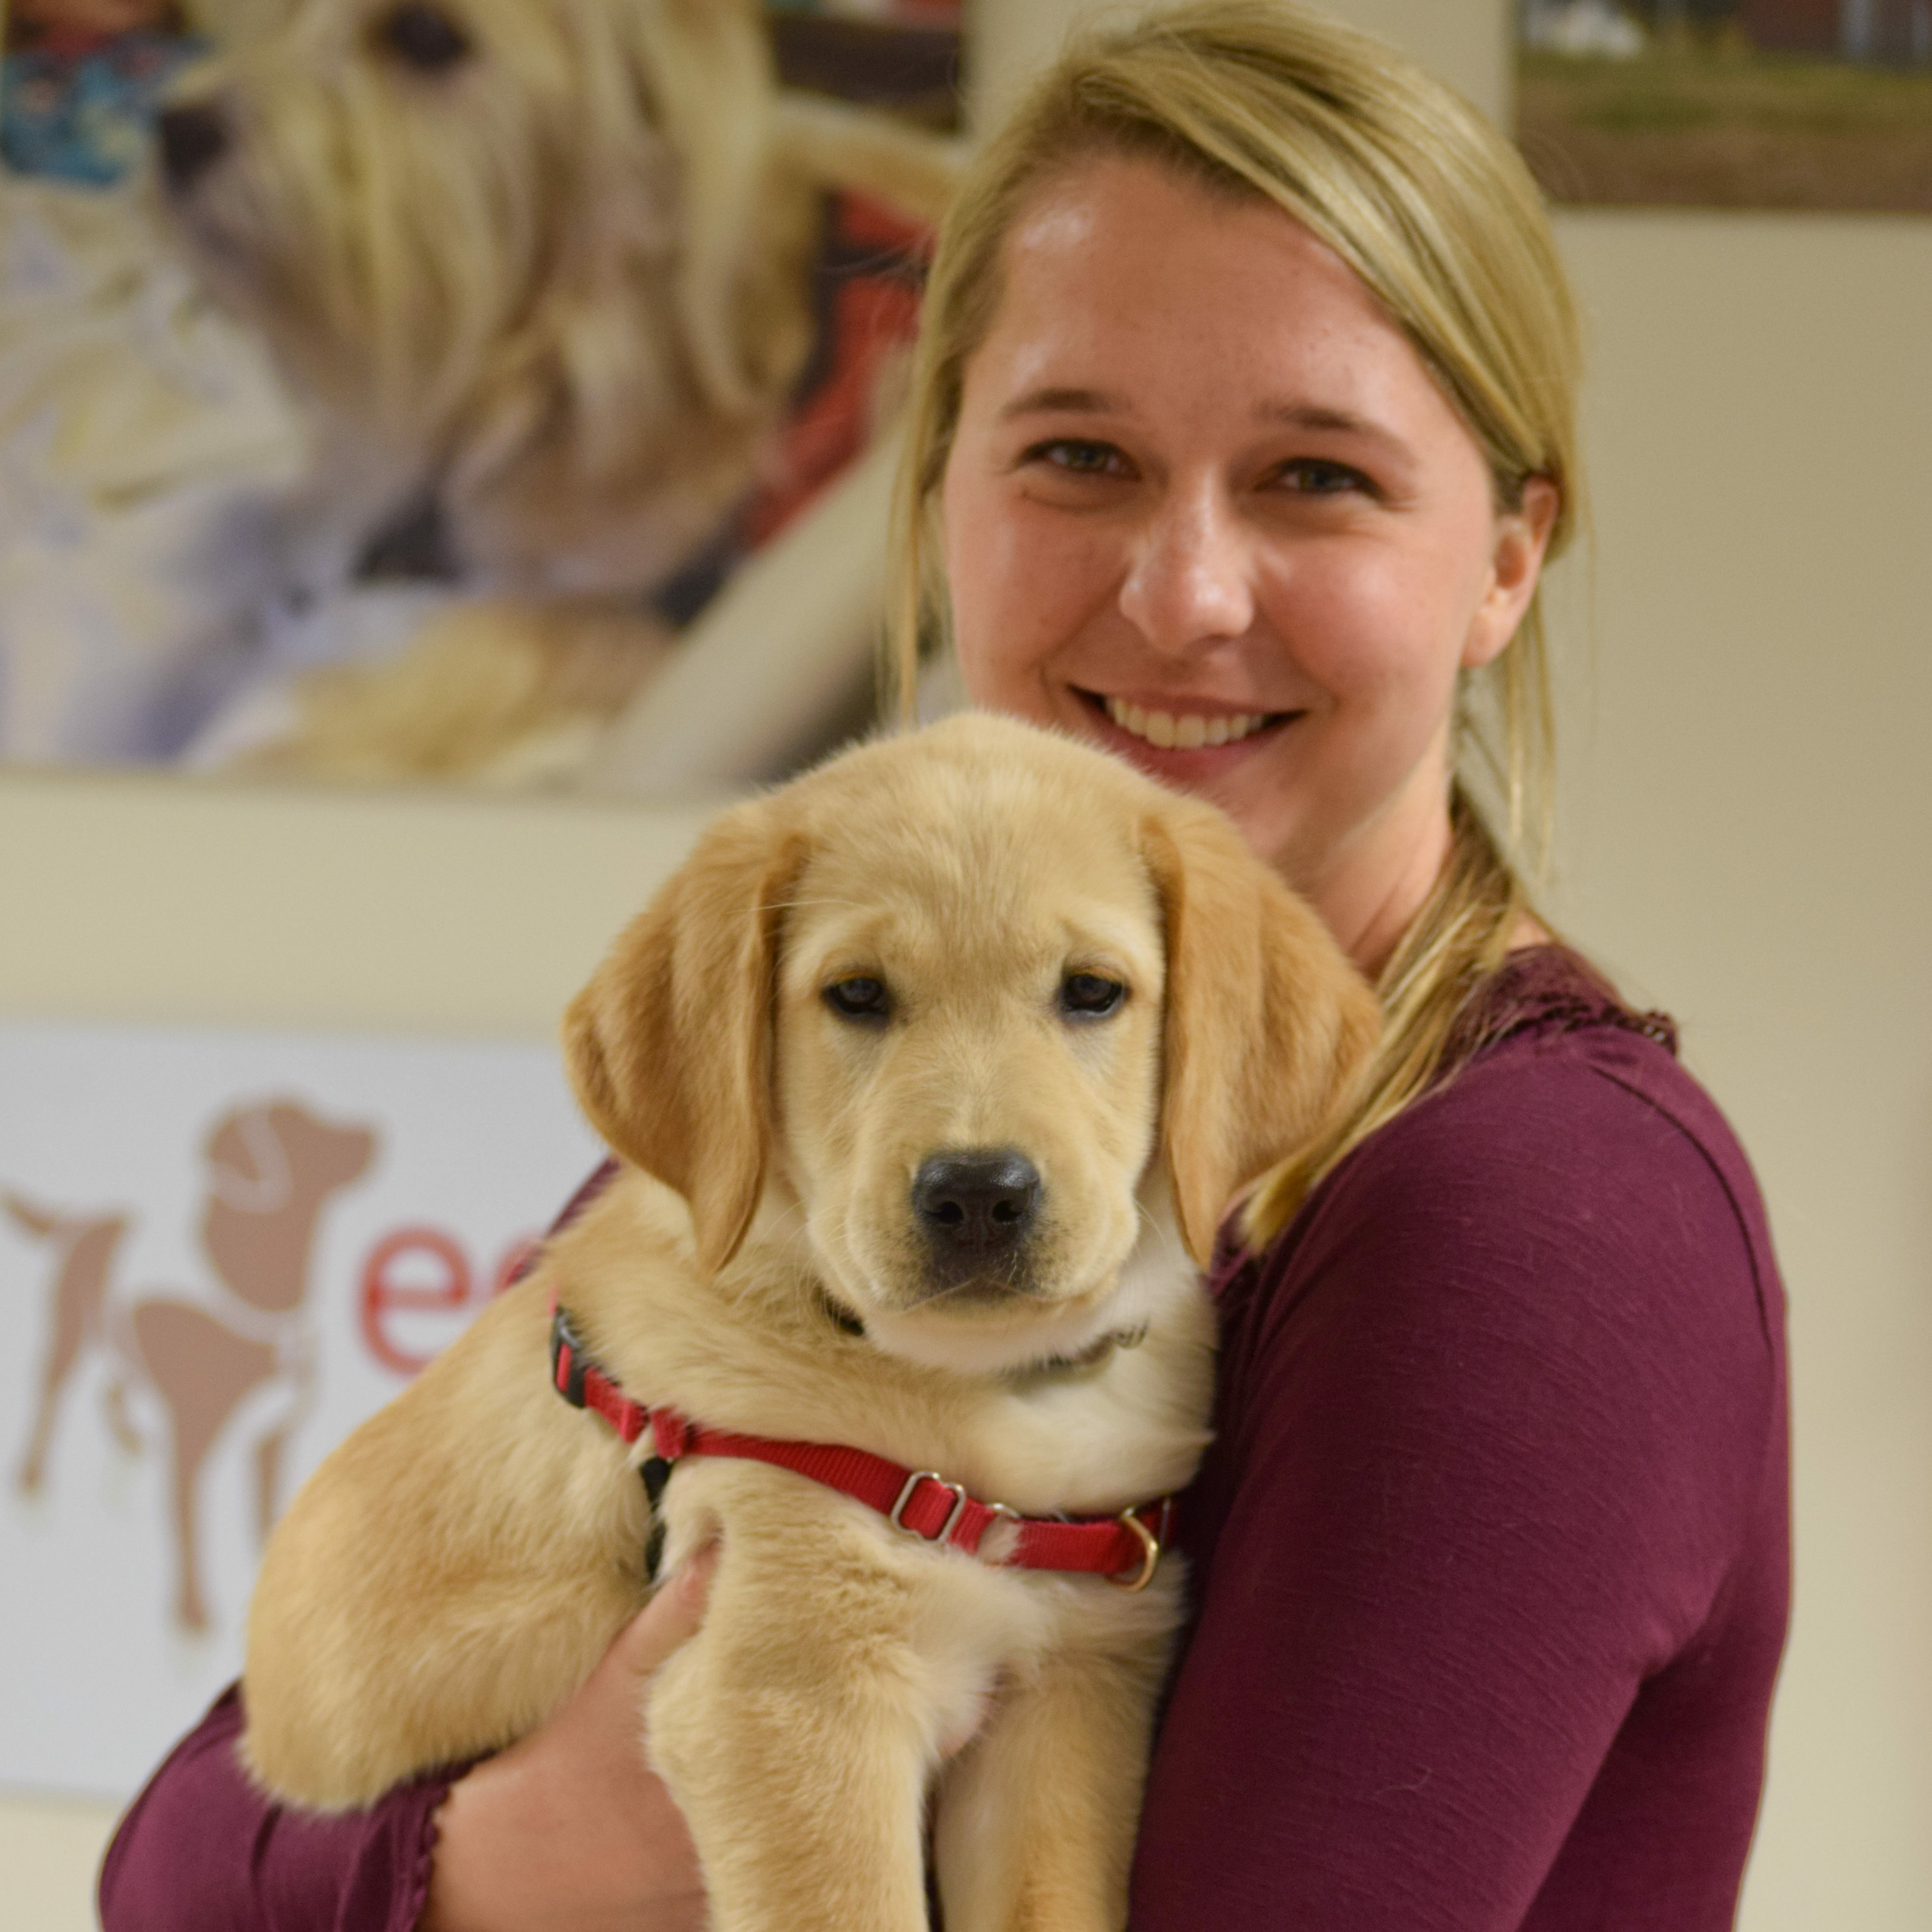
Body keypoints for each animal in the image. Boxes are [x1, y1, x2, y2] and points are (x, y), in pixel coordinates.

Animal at [241, 718, 1383, 1932]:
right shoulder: (793, 1704)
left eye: (1091, 991)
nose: (977, 1193)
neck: (976, 1398)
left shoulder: (1068, 1695)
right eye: (857, 995)